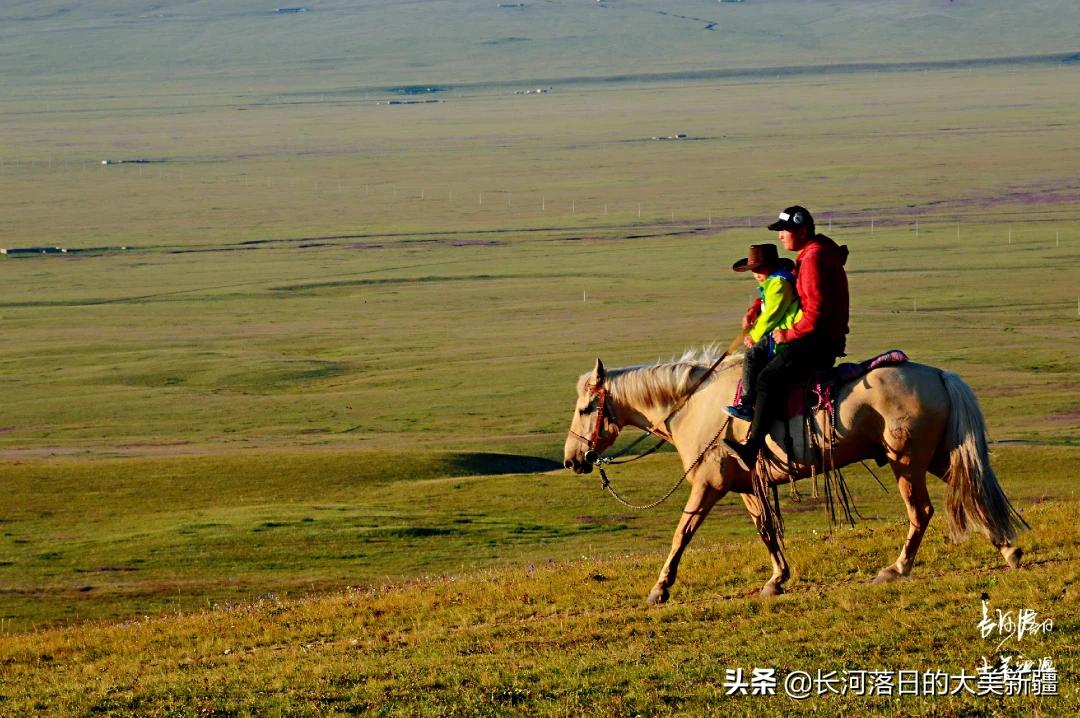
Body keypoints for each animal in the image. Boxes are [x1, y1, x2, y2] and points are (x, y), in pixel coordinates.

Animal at [565, 349, 1028, 600]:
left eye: (587, 408)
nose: (573, 459)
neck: (695, 406)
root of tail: (938, 375)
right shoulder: (746, 485)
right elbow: (766, 530)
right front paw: (777, 579)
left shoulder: (708, 484)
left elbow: (683, 533)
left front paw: (659, 589)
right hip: (935, 457)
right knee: (972, 490)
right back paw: (1009, 551)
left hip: (906, 462)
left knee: (923, 512)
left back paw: (895, 569)